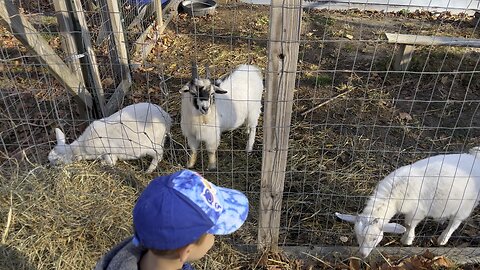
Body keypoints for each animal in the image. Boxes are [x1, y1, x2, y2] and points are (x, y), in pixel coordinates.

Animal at [336, 148, 480, 258]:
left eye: (375, 238)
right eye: (357, 236)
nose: (362, 255)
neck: (394, 192)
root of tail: (475, 158)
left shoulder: (417, 211)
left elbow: (409, 225)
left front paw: (407, 240)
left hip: (466, 205)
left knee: (455, 223)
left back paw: (443, 239)